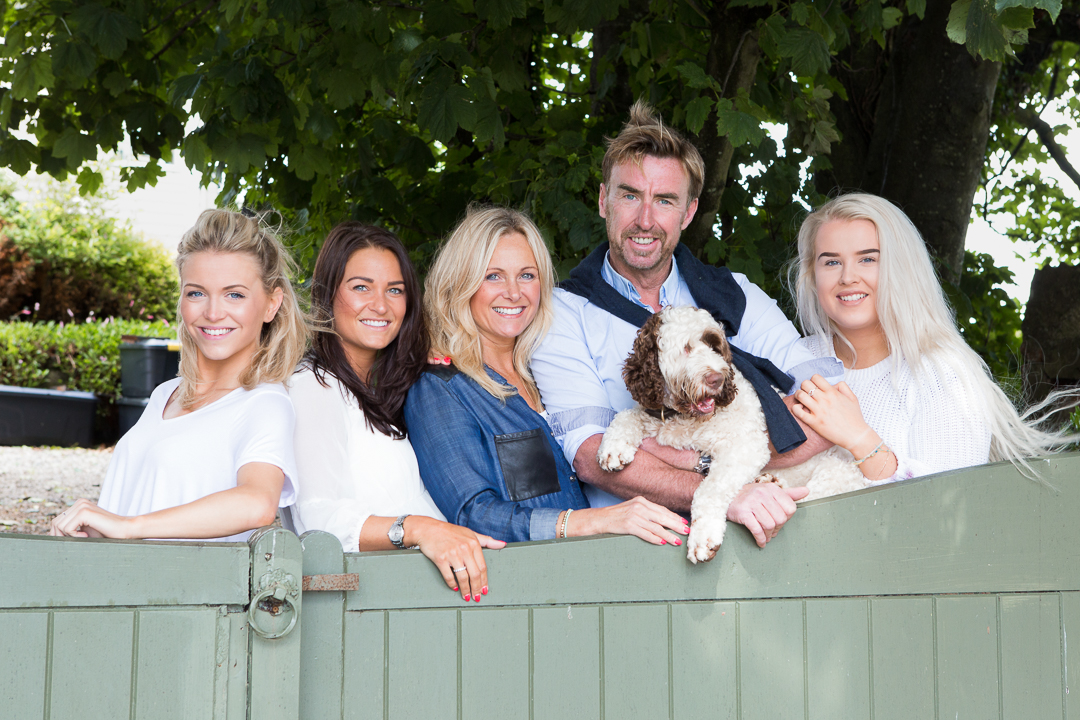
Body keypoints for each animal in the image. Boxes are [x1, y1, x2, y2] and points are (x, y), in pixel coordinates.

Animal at [596, 304, 864, 561]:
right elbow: (627, 415)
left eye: (715, 347)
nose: (717, 379)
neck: (687, 417)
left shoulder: (746, 447)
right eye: (686, 348)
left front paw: (703, 538)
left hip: (832, 475)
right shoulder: (656, 416)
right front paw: (612, 448)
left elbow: (709, 490)